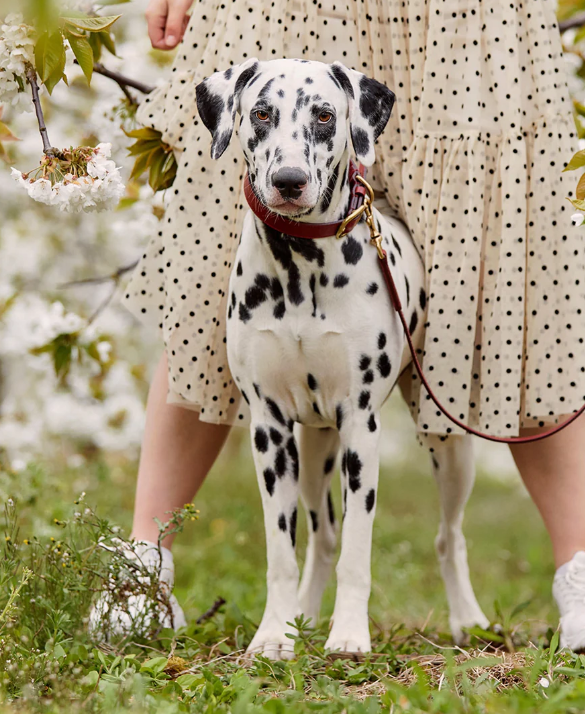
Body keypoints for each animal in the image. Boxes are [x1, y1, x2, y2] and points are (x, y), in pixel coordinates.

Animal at [196, 57, 488, 656]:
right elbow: (282, 553)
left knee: (448, 536)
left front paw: (350, 634)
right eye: (261, 113)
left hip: (447, 447)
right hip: (311, 449)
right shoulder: (270, 430)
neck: (300, 262)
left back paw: (467, 619)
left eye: (325, 115)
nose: (289, 181)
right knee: (323, 535)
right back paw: (303, 618)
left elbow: (358, 548)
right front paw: (273, 635)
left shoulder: (360, 427)